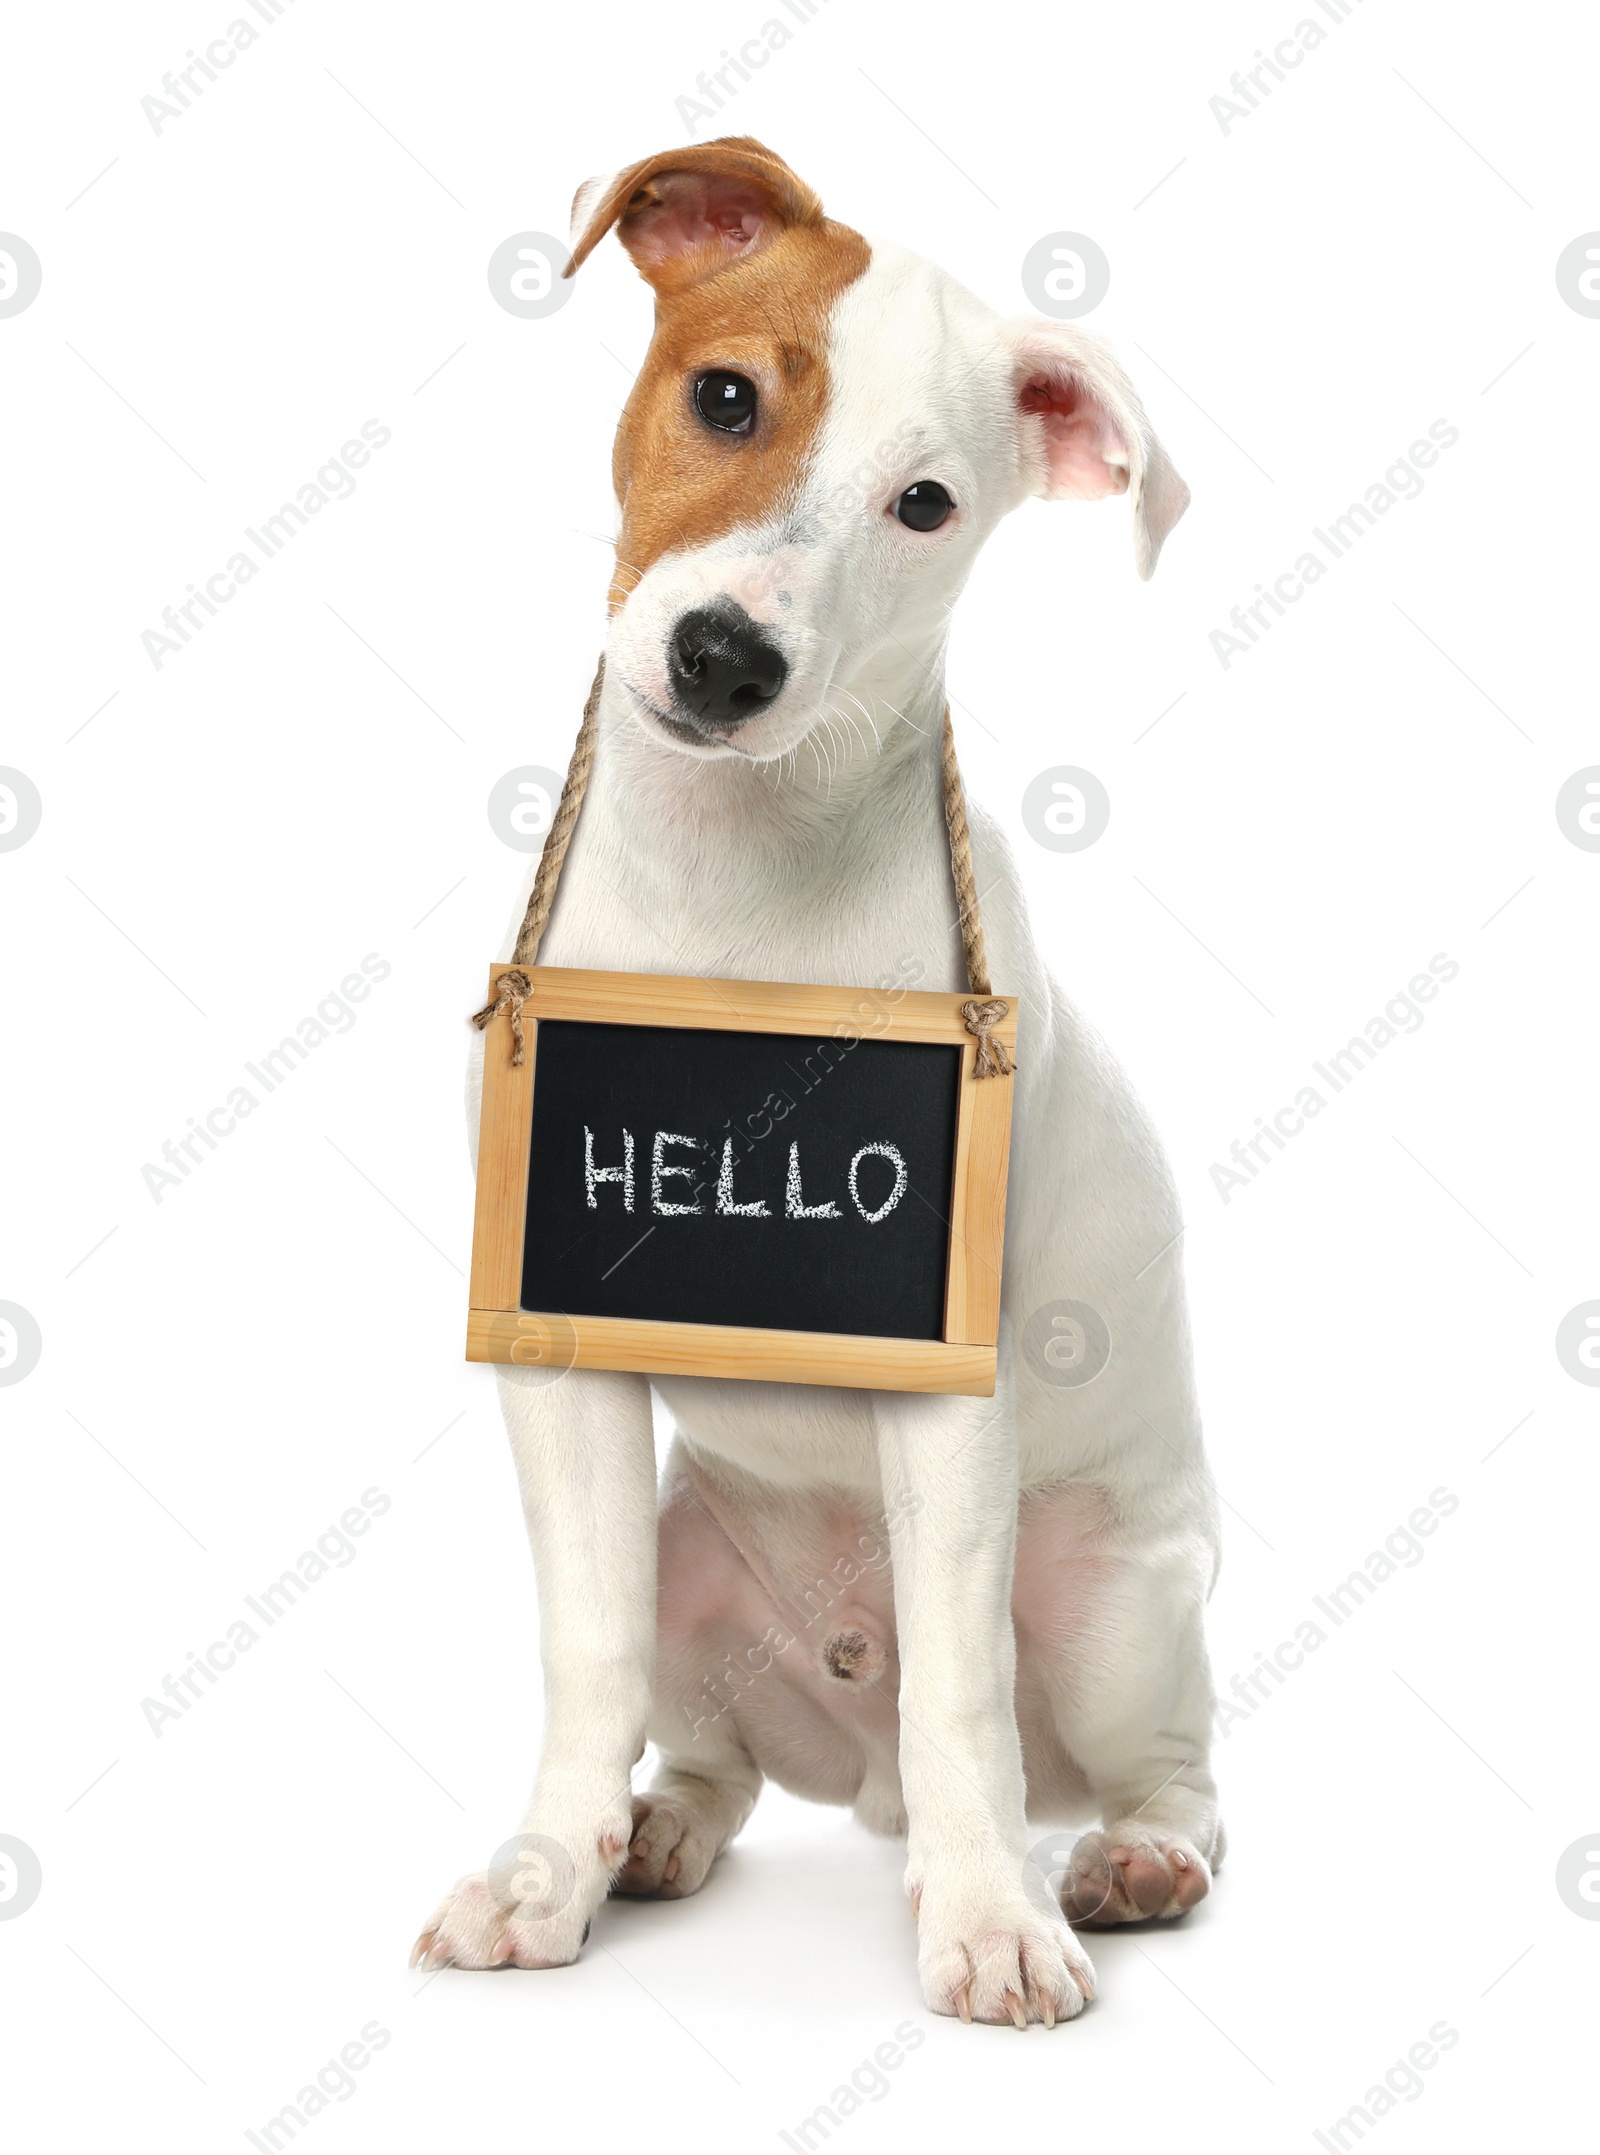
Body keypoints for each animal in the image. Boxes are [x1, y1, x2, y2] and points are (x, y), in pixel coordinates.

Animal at [416, 138, 1224, 2034]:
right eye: (726, 397)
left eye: (925, 506)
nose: (727, 658)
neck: (734, 874)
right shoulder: (555, 1357)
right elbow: (586, 1652)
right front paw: (545, 1875)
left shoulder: (948, 1387)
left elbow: (963, 1699)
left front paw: (996, 1923)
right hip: (696, 1563)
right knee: (713, 1751)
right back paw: (655, 1834)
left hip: (1118, 1600)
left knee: (1129, 1759)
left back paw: (1120, 1859)